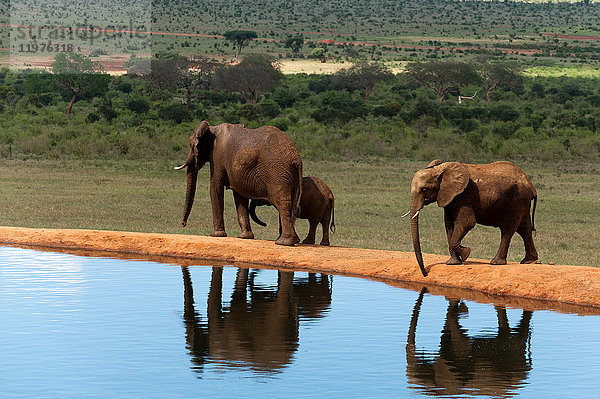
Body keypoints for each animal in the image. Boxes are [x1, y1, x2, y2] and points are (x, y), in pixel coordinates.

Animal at [408, 161, 540, 276]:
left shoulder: (463, 195)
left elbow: (467, 222)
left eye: (424, 189)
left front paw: (466, 253)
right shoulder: (449, 198)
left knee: (508, 229)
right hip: (522, 201)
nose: (425, 273)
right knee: (525, 228)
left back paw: (496, 262)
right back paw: (529, 261)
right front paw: (453, 263)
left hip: (516, 200)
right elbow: (449, 225)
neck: (438, 170)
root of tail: (531, 185)